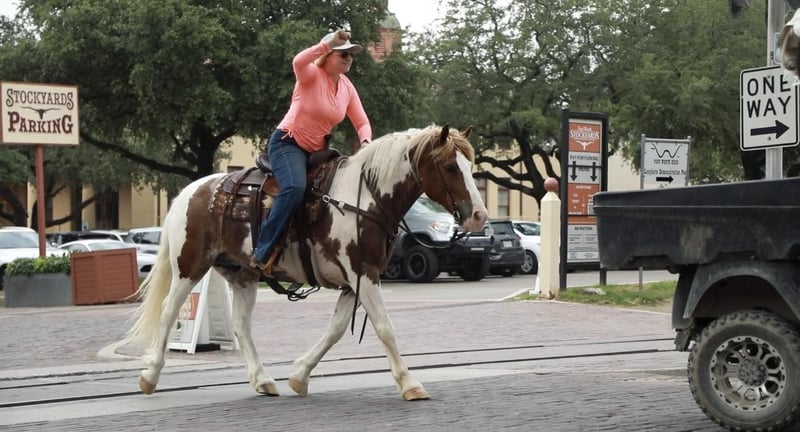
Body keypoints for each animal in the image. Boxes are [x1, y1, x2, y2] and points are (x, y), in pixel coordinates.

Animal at [125, 124, 488, 401]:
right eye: (450, 167)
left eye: (471, 166)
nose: (479, 216)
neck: (365, 199)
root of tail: (190, 191)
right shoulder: (364, 274)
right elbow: (385, 327)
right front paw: (410, 384)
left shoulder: (353, 282)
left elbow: (336, 330)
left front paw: (299, 375)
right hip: (189, 266)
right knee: (169, 311)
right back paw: (150, 375)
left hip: (242, 274)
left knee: (241, 325)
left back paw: (262, 380)